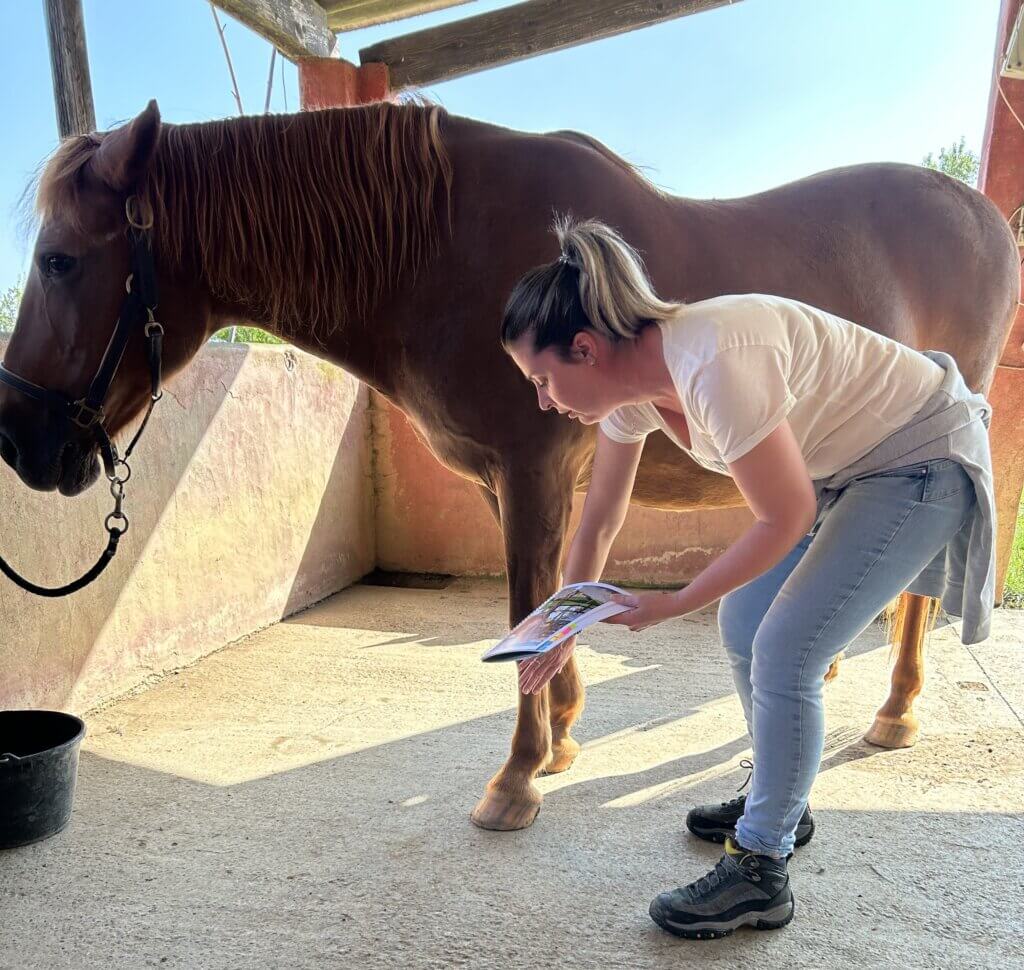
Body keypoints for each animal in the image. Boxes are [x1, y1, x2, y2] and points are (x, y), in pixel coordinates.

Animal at [0, 100, 1016, 832]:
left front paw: (518, 777)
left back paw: (896, 711)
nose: (20, 443)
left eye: (59, 260)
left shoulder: (531, 468)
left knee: (919, 586)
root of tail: (981, 214)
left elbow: (530, 597)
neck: (439, 247)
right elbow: (550, 596)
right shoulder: (519, 481)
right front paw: (561, 733)